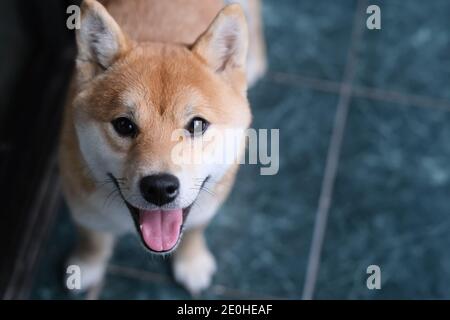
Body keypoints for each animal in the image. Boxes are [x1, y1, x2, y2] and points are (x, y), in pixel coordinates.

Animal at [58, 0, 266, 296]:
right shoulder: (82, 203)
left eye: (197, 124)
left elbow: (194, 232)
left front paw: (192, 261)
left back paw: (256, 60)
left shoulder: (210, 201)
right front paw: (86, 265)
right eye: (124, 125)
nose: (159, 187)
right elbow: (92, 239)